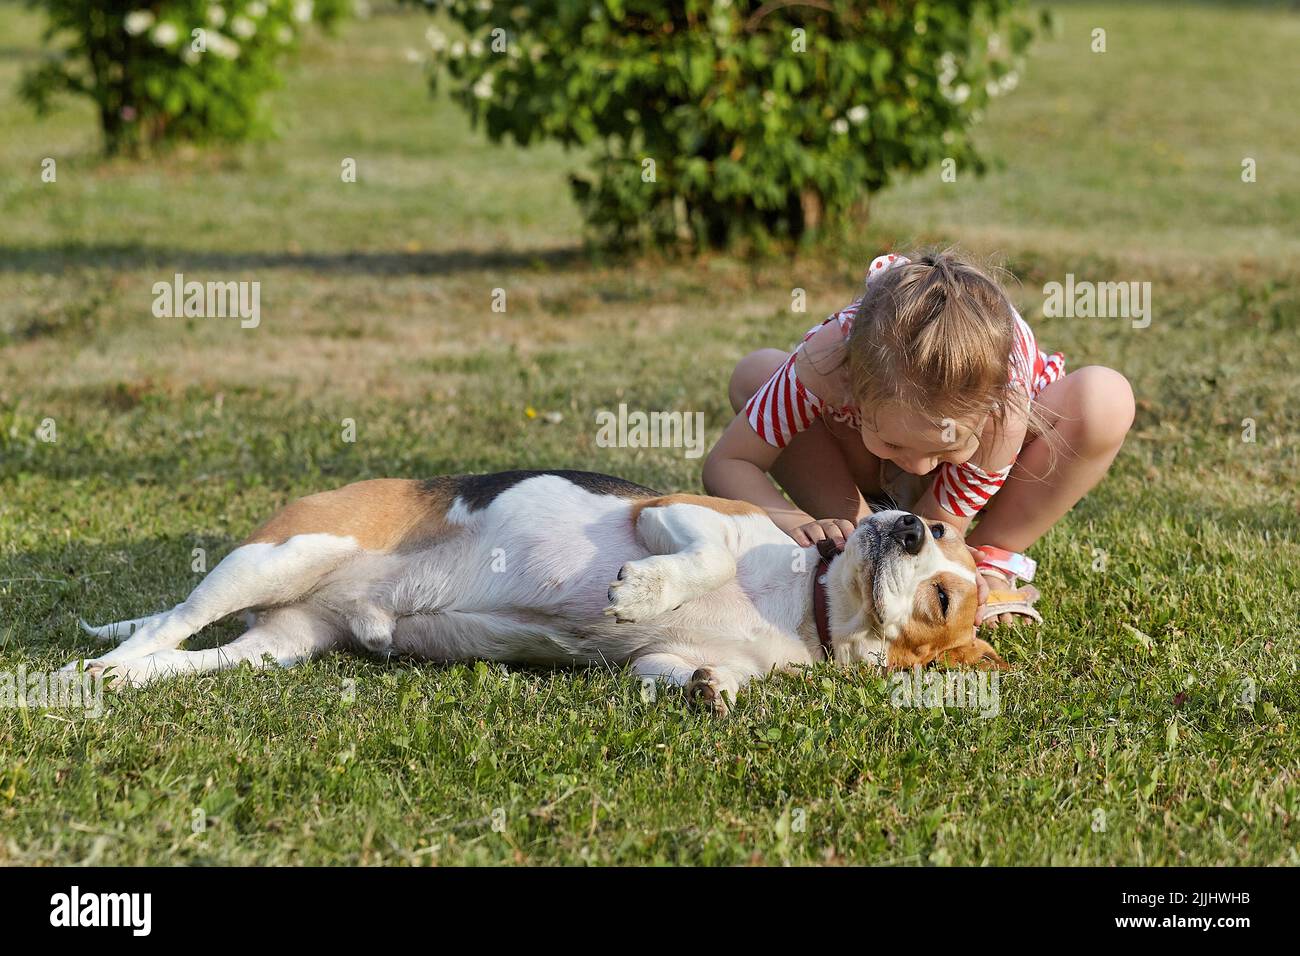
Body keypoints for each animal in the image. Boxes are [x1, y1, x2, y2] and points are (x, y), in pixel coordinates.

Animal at [65, 476, 1003, 712]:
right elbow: (696, 560)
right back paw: (95, 670)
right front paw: (642, 590)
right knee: (174, 619)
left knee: (190, 656)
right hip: (286, 552)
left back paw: (125, 677)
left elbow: (688, 671)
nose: (908, 524)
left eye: (942, 603)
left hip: (279, 645)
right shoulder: (676, 514)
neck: (805, 606)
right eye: (939, 534)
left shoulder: (664, 660)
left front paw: (712, 693)